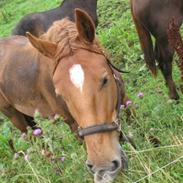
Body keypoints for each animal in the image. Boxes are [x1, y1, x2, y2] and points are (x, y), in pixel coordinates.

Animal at [0, 8, 127, 183]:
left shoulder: (125, 99)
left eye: (105, 80)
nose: (102, 164)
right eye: (60, 94)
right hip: (13, 115)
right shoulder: (74, 126)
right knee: (36, 141)